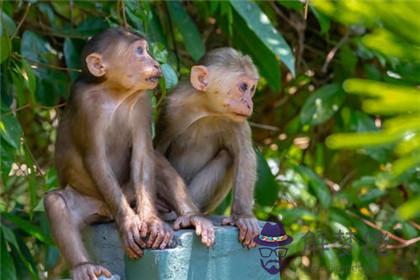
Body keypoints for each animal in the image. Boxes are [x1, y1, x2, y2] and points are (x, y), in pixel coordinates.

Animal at [44, 26, 215, 280]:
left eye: (146, 50)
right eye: (139, 51)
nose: (155, 63)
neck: (115, 92)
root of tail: (105, 212)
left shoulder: (143, 100)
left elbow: (144, 154)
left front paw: (152, 222)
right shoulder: (85, 103)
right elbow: (95, 159)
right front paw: (128, 224)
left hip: (129, 192)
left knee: (156, 163)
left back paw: (191, 216)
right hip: (91, 202)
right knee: (56, 203)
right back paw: (84, 266)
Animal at [154, 48, 260, 249]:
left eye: (252, 89)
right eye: (243, 87)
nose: (250, 103)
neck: (206, 110)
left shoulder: (237, 121)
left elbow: (245, 155)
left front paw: (243, 216)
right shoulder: (171, 107)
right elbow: (155, 151)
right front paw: (191, 217)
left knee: (227, 156)